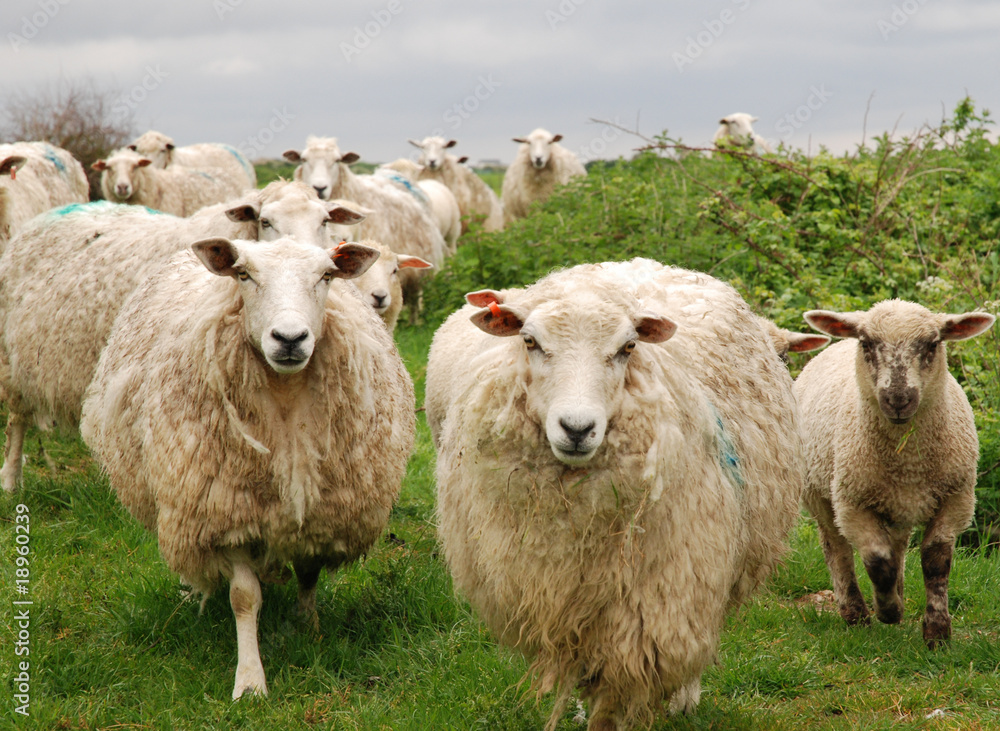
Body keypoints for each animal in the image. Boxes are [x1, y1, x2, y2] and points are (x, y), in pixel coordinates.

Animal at [79, 236, 415, 700]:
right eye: (243, 275)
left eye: (326, 276)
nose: (290, 338)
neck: (286, 399)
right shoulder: (227, 512)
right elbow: (243, 596)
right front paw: (251, 681)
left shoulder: (321, 514)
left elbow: (308, 574)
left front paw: (308, 629)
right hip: (184, 502)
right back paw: (195, 593)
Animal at [429, 257, 804, 730]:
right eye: (530, 341)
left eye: (627, 347)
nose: (576, 428)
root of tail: (646, 264)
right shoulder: (558, 593)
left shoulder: (658, 595)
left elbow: (623, 682)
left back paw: (685, 697)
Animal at [794, 300, 995, 648]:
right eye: (867, 344)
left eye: (932, 344)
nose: (898, 399)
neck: (908, 461)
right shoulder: (852, 502)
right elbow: (877, 561)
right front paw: (887, 610)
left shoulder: (956, 498)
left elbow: (936, 561)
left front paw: (937, 632)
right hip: (819, 492)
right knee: (837, 548)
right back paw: (855, 612)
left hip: (896, 503)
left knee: (897, 545)